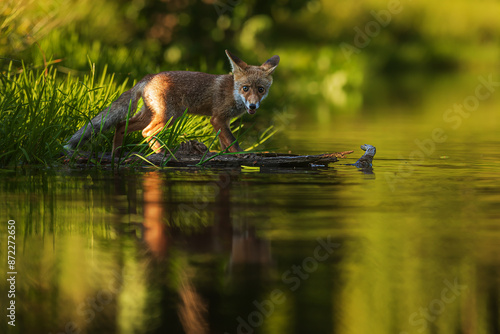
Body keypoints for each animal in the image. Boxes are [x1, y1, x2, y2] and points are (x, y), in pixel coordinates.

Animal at [64, 49, 280, 153]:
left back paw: (116, 153)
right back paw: (162, 153)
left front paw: (225, 155)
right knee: (145, 132)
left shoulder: (222, 122)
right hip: (168, 117)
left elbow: (224, 143)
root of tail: (149, 76)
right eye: (246, 88)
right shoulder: (218, 118)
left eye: (261, 90)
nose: (252, 106)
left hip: (152, 115)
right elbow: (233, 142)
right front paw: (241, 155)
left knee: (121, 124)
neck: (233, 93)